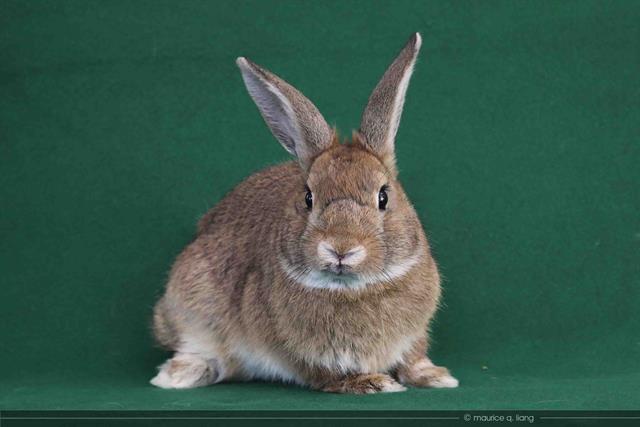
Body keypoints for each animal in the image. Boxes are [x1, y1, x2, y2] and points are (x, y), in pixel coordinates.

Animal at [151, 33, 458, 394]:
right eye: (308, 198)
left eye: (383, 196)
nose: (341, 249)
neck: (351, 288)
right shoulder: (294, 351)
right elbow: (323, 374)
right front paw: (373, 383)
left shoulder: (414, 334)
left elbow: (414, 356)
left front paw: (436, 377)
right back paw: (178, 374)